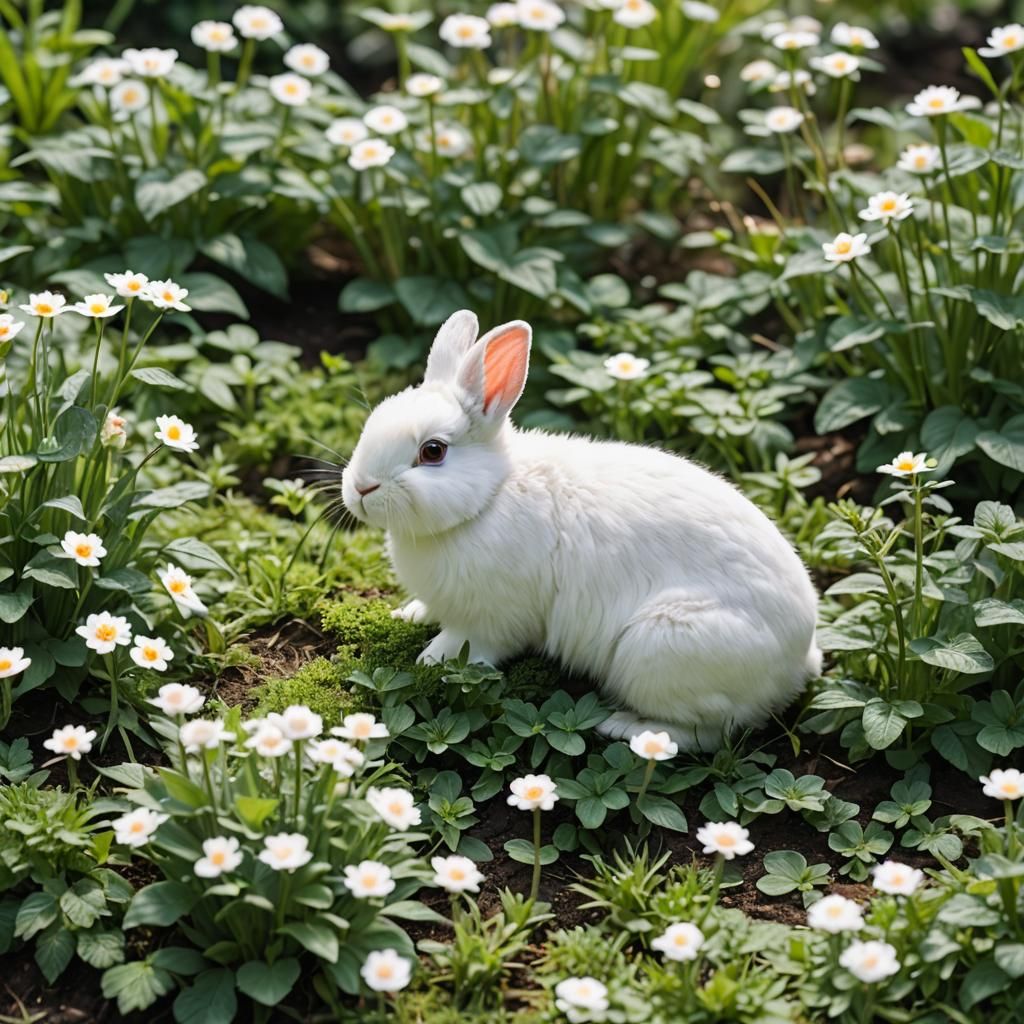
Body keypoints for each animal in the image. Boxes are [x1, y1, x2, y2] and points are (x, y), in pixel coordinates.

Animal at [341, 310, 821, 748]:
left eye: (433, 451)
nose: (361, 488)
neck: (488, 497)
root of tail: (800, 661)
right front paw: (409, 614)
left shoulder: (492, 619)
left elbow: (470, 645)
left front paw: (429, 660)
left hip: (660, 649)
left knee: (708, 732)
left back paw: (627, 728)